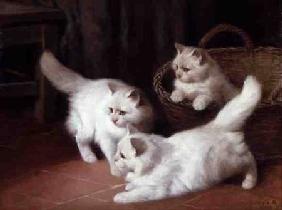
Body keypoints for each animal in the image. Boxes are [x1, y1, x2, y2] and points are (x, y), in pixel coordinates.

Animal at [113, 76, 262, 203]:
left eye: (122, 155)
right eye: (117, 152)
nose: (114, 159)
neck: (153, 162)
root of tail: (214, 125)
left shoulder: (155, 190)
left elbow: (134, 194)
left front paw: (119, 196)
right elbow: (133, 182)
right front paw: (129, 184)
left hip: (229, 163)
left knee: (250, 159)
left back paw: (249, 182)